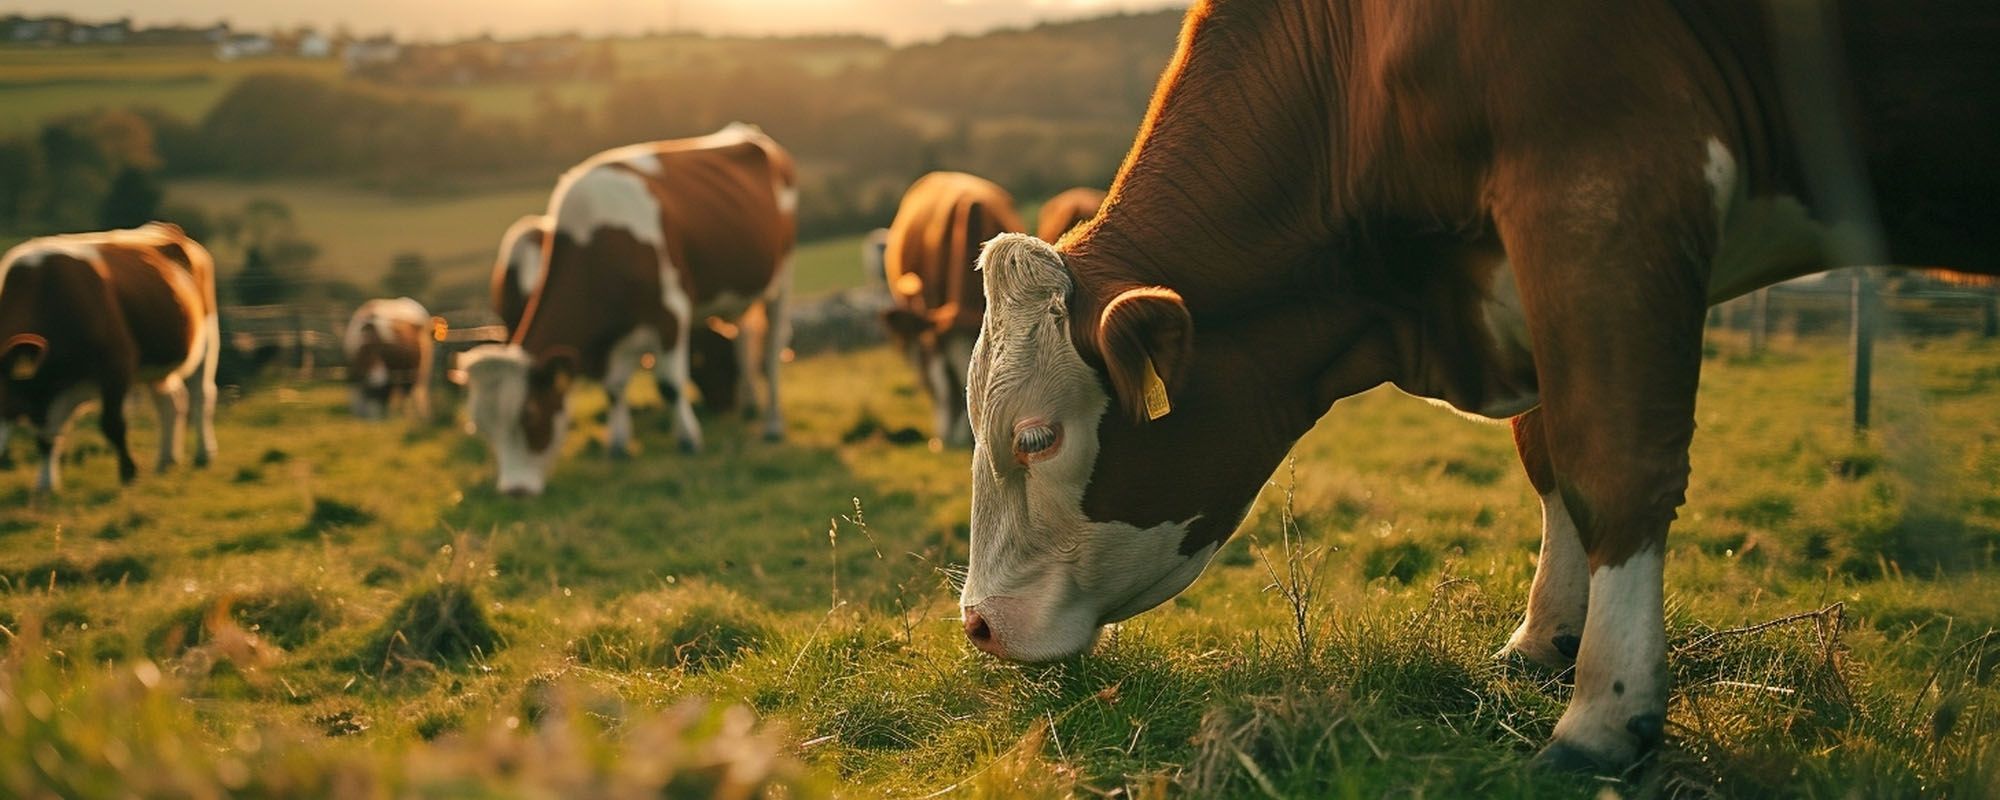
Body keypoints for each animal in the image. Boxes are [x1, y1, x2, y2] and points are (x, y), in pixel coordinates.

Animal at [0, 222, 221, 490]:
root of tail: (166, 228)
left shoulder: (117, 365)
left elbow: (112, 424)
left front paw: (129, 473)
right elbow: (47, 439)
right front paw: (45, 485)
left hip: (207, 339)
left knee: (202, 397)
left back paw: (204, 455)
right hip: (157, 366)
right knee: (170, 402)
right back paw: (166, 459)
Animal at [460, 123, 796, 494]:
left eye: (530, 415)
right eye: (483, 427)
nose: (514, 492)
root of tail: (744, 131)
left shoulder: (672, 312)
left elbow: (670, 384)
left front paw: (688, 440)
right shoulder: (617, 334)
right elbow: (614, 387)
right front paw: (618, 445)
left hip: (781, 278)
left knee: (771, 353)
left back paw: (773, 424)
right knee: (745, 338)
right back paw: (751, 405)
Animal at [952, 0, 2000, 776]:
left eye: (1039, 438)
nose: (977, 625)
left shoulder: (1607, 188)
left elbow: (1614, 459)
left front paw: (1602, 717)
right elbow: (1551, 456)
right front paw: (1544, 639)